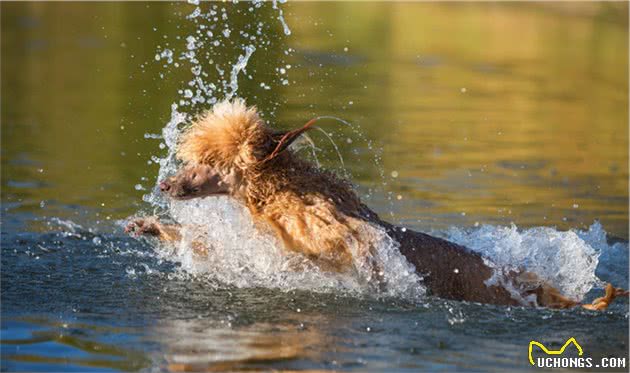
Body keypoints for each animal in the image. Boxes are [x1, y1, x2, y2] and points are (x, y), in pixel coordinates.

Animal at [126, 98, 628, 308]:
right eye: (193, 159)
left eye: (211, 162)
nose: (166, 186)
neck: (284, 194)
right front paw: (152, 227)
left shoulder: (334, 242)